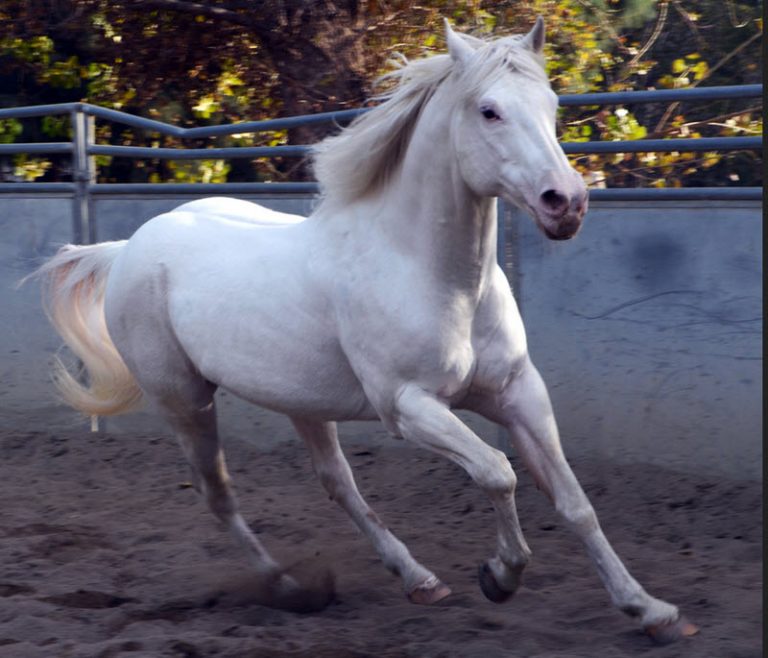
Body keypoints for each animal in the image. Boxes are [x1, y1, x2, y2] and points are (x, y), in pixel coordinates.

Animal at [36, 19, 696, 640]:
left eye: (552, 104)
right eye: (489, 110)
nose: (567, 203)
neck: (434, 276)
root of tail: (129, 247)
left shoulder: (517, 393)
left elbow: (574, 502)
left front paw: (653, 611)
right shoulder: (408, 406)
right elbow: (497, 473)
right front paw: (500, 577)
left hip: (301, 402)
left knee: (337, 484)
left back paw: (419, 580)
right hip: (185, 401)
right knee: (218, 494)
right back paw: (289, 587)